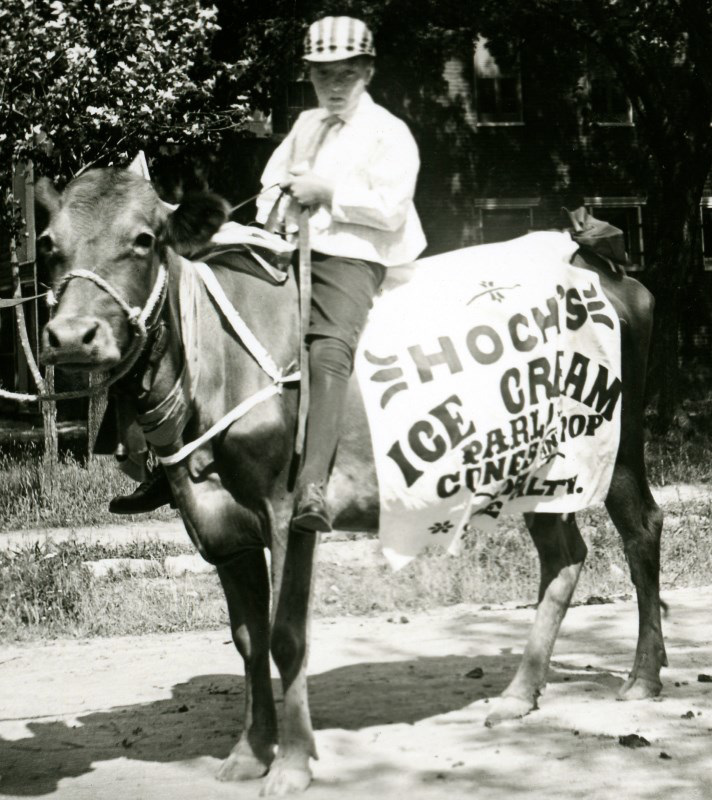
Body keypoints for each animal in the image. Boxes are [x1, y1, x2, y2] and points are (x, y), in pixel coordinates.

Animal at [36, 169, 664, 792]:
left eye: (143, 240)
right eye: (49, 245)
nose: (70, 336)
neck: (213, 366)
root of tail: (600, 262)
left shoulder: (289, 511)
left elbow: (287, 636)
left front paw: (291, 763)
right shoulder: (219, 525)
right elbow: (248, 638)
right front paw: (249, 752)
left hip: (617, 441)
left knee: (641, 529)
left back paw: (643, 676)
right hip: (539, 466)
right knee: (564, 556)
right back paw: (519, 693)